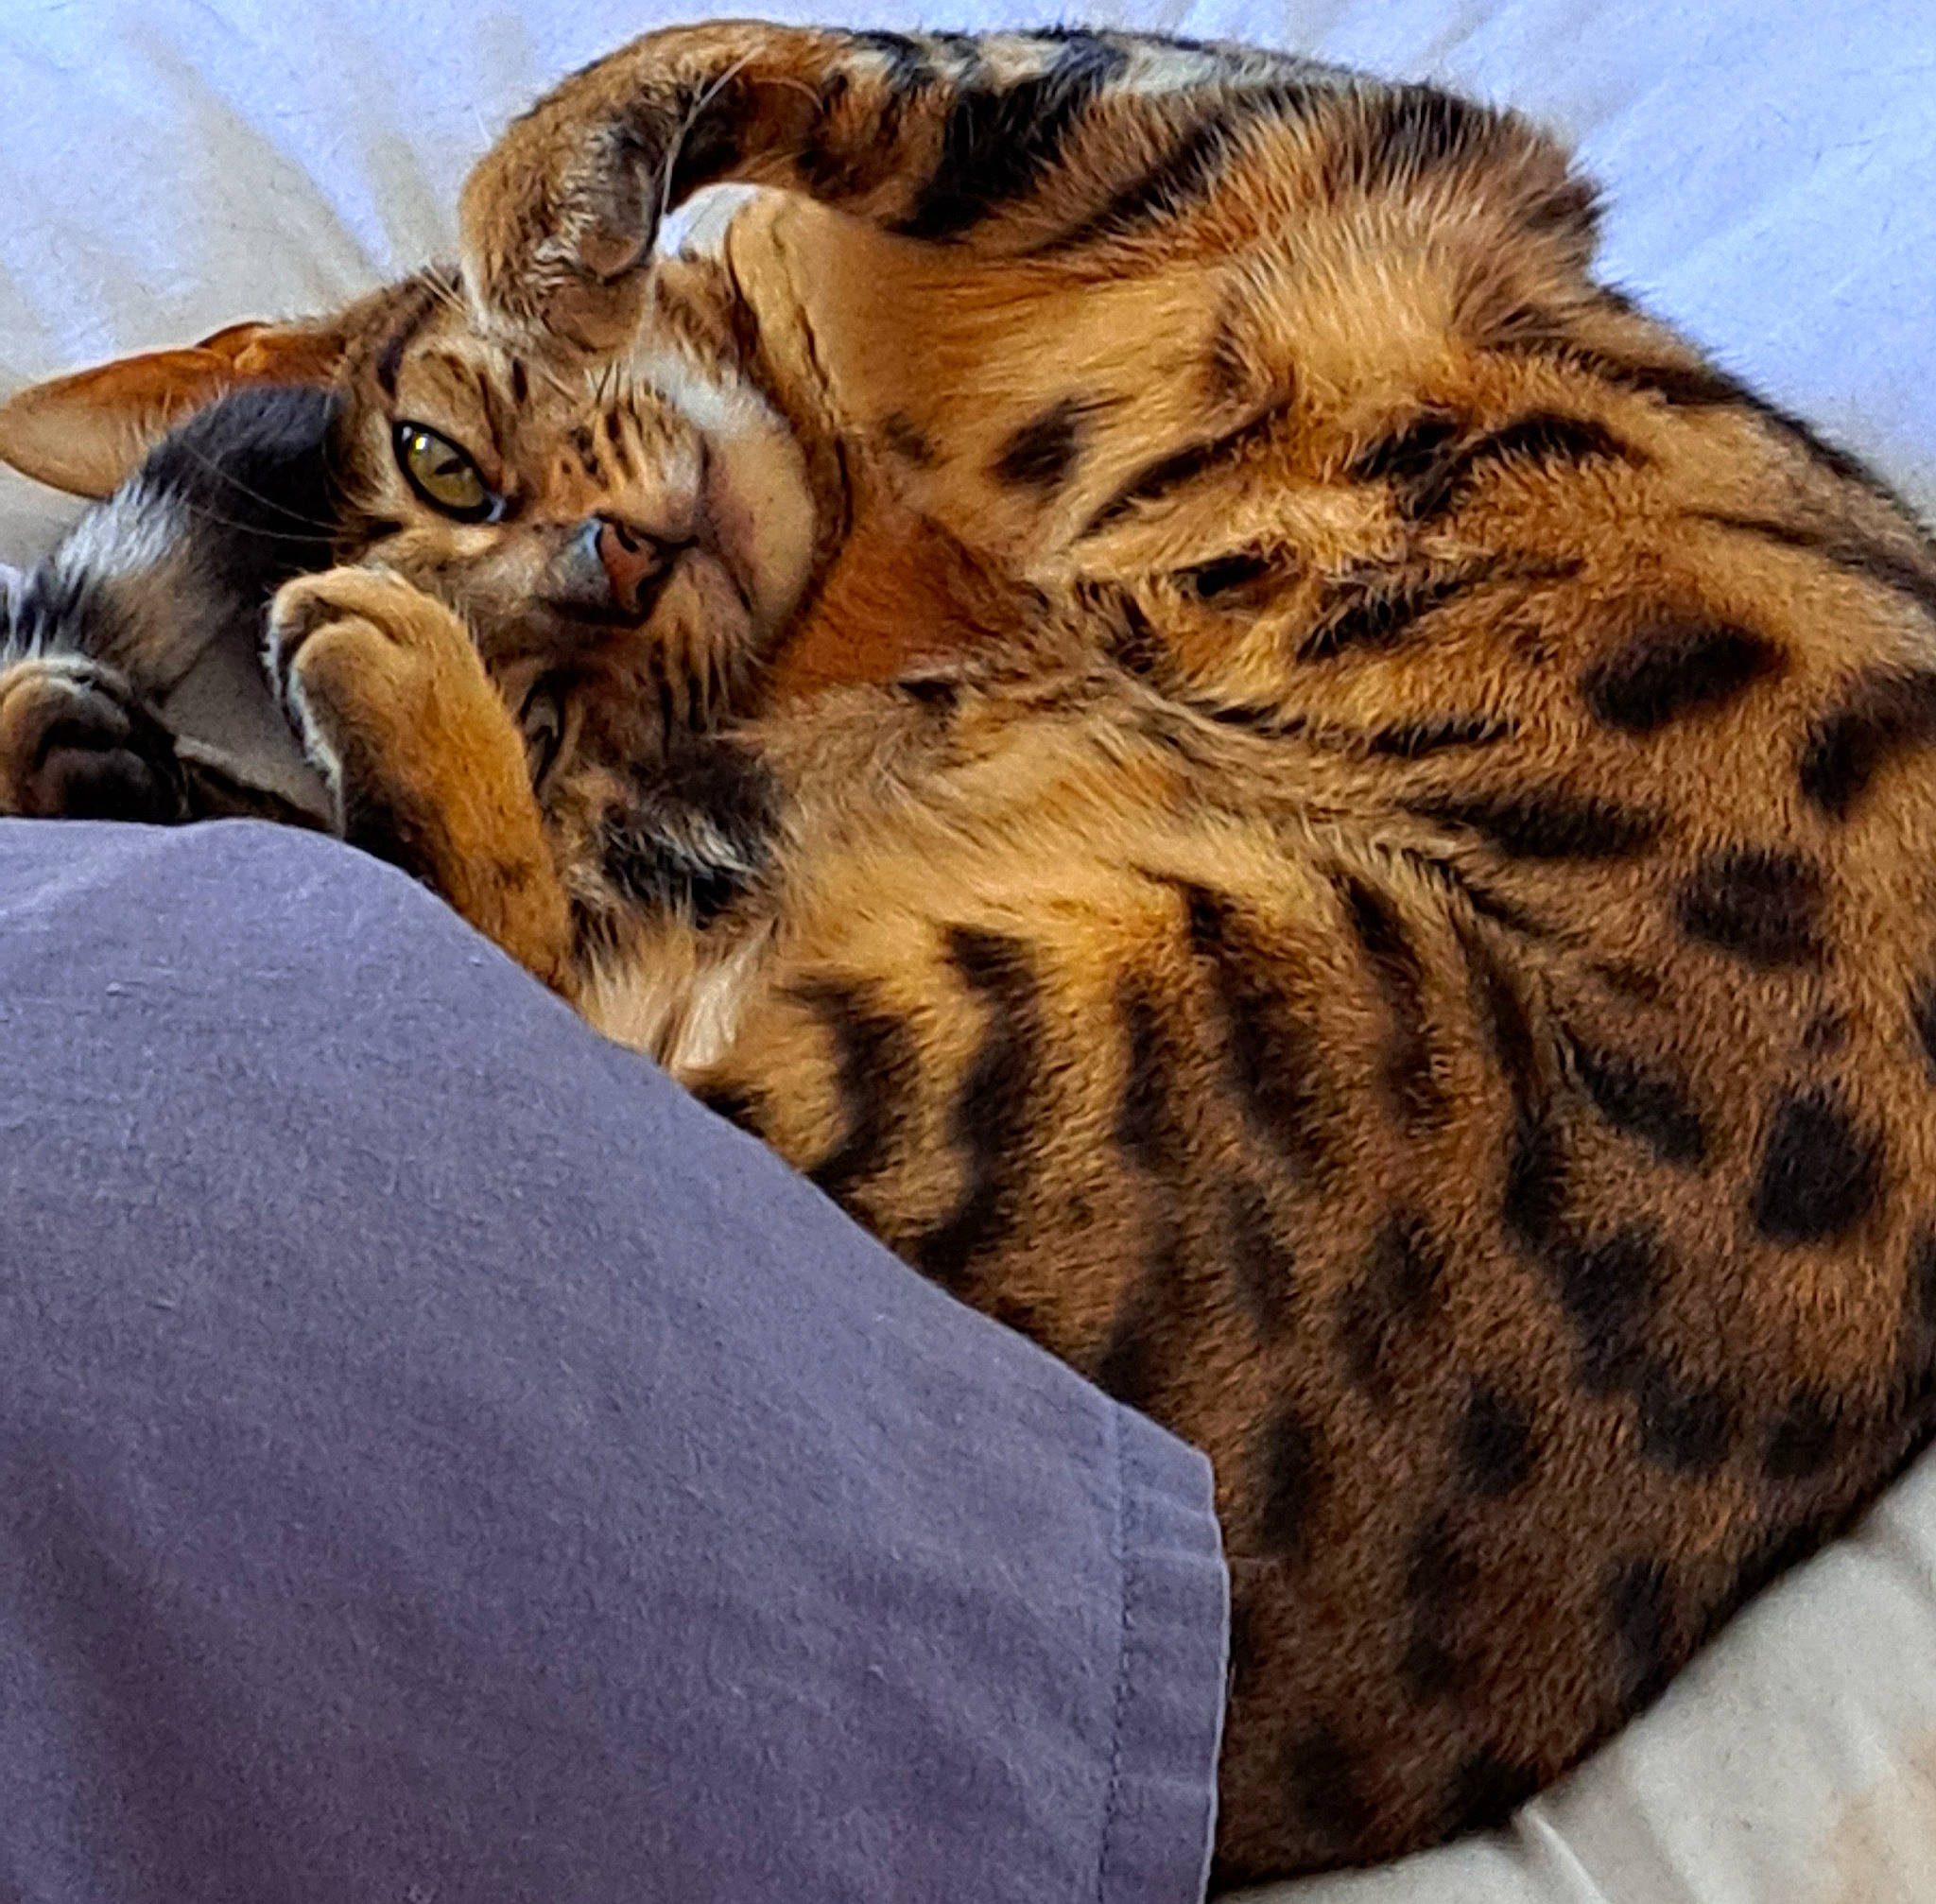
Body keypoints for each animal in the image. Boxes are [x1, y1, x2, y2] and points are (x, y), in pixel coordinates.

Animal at [5, 24, 1936, 1887]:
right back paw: (254, 699)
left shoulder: (1244, 124)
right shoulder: (1184, 130)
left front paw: (550, 233)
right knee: (545, 1000)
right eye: (545, 688)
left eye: (443, 461)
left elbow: (771, 68)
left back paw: (123, 735)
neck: (877, 519)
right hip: (1177, 995)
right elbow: (876, 66)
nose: (604, 569)